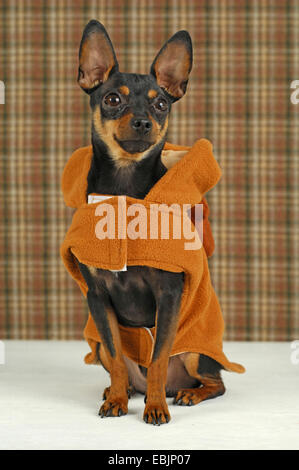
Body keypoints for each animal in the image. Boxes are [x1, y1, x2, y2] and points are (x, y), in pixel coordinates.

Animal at [74, 20, 225, 426]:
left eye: (161, 104)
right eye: (112, 100)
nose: (143, 122)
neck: (125, 191)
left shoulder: (168, 296)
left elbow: (157, 360)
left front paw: (156, 409)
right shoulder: (98, 298)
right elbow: (115, 357)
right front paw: (116, 401)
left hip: (194, 354)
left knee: (215, 383)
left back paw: (184, 394)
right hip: (100, 342)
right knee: (120, 369)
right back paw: (121, 391)